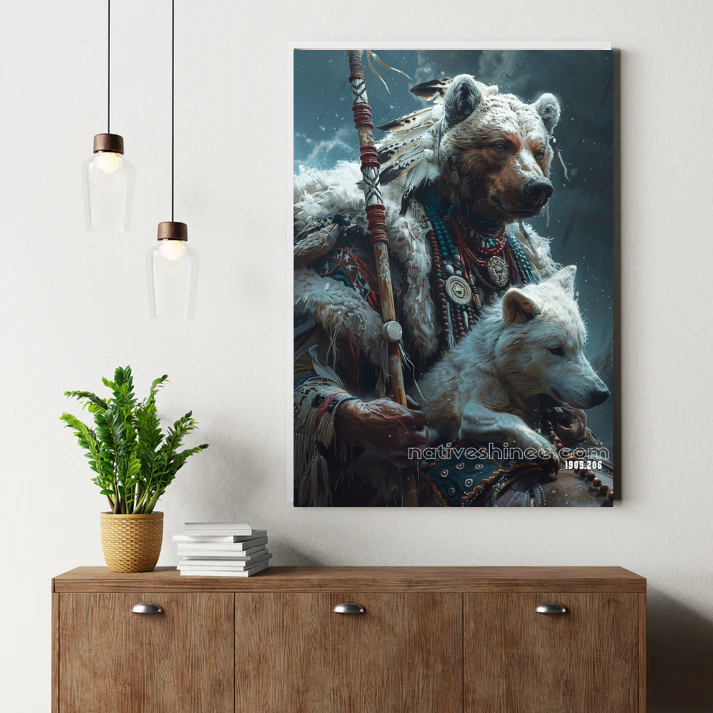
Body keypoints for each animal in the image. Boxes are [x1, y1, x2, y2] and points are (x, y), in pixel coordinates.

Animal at [417, 266, 610, 459]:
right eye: (556, 350)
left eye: (581, 347)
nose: (603, 394)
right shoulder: (469, 412)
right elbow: (509, 417)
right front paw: (538, 441)